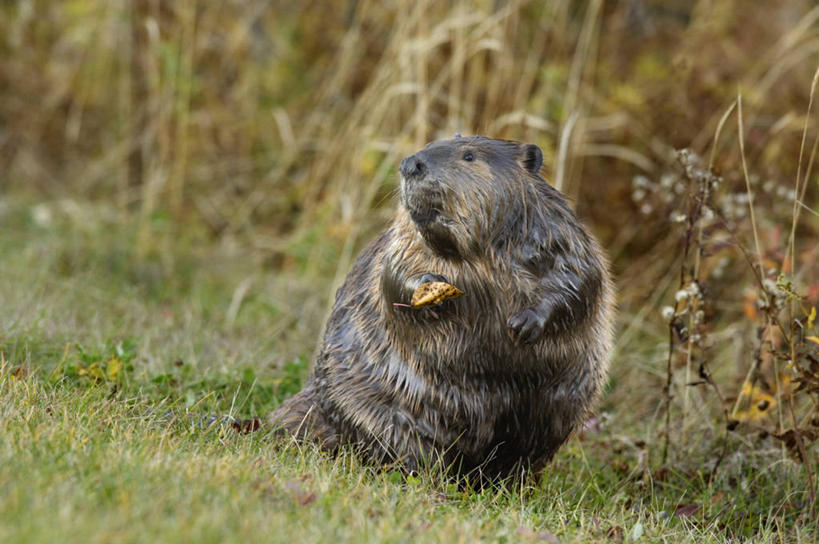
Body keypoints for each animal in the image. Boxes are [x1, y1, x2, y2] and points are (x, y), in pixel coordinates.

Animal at [270, 136, 616, 480]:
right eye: (430, 145)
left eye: (469, 155)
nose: (411, 164)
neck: (474, 253)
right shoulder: (403, 239)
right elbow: (393, 273)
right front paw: (431, 290)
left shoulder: (558, 234)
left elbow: (578, 280)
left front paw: (522, 325)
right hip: (383, 408)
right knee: (409, 447)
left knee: (520, 455)